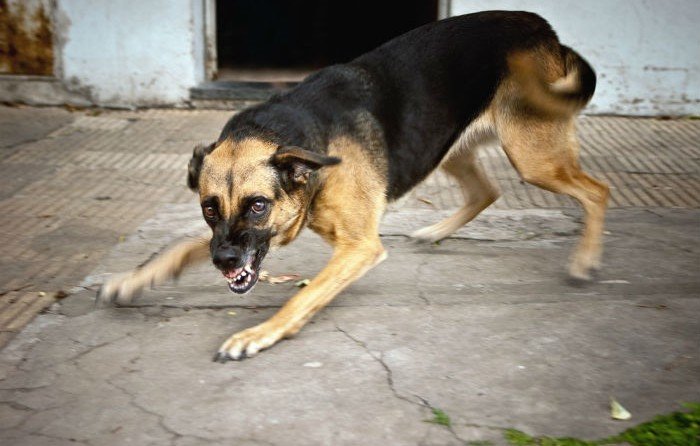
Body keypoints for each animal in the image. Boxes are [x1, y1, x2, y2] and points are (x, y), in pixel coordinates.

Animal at [98, 11, 608, 362]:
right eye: (208, 207)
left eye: (258, 205)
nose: (223, 263)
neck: (307, 151)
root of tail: (544, 28)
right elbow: (183, 246)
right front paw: (136, 278)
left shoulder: (359, 248)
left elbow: (302, 296)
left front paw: (257, 335)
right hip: (447, 147)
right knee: (487, 192)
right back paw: (436, 232)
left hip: (534, 159)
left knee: (597, 191)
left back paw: (584, 260)